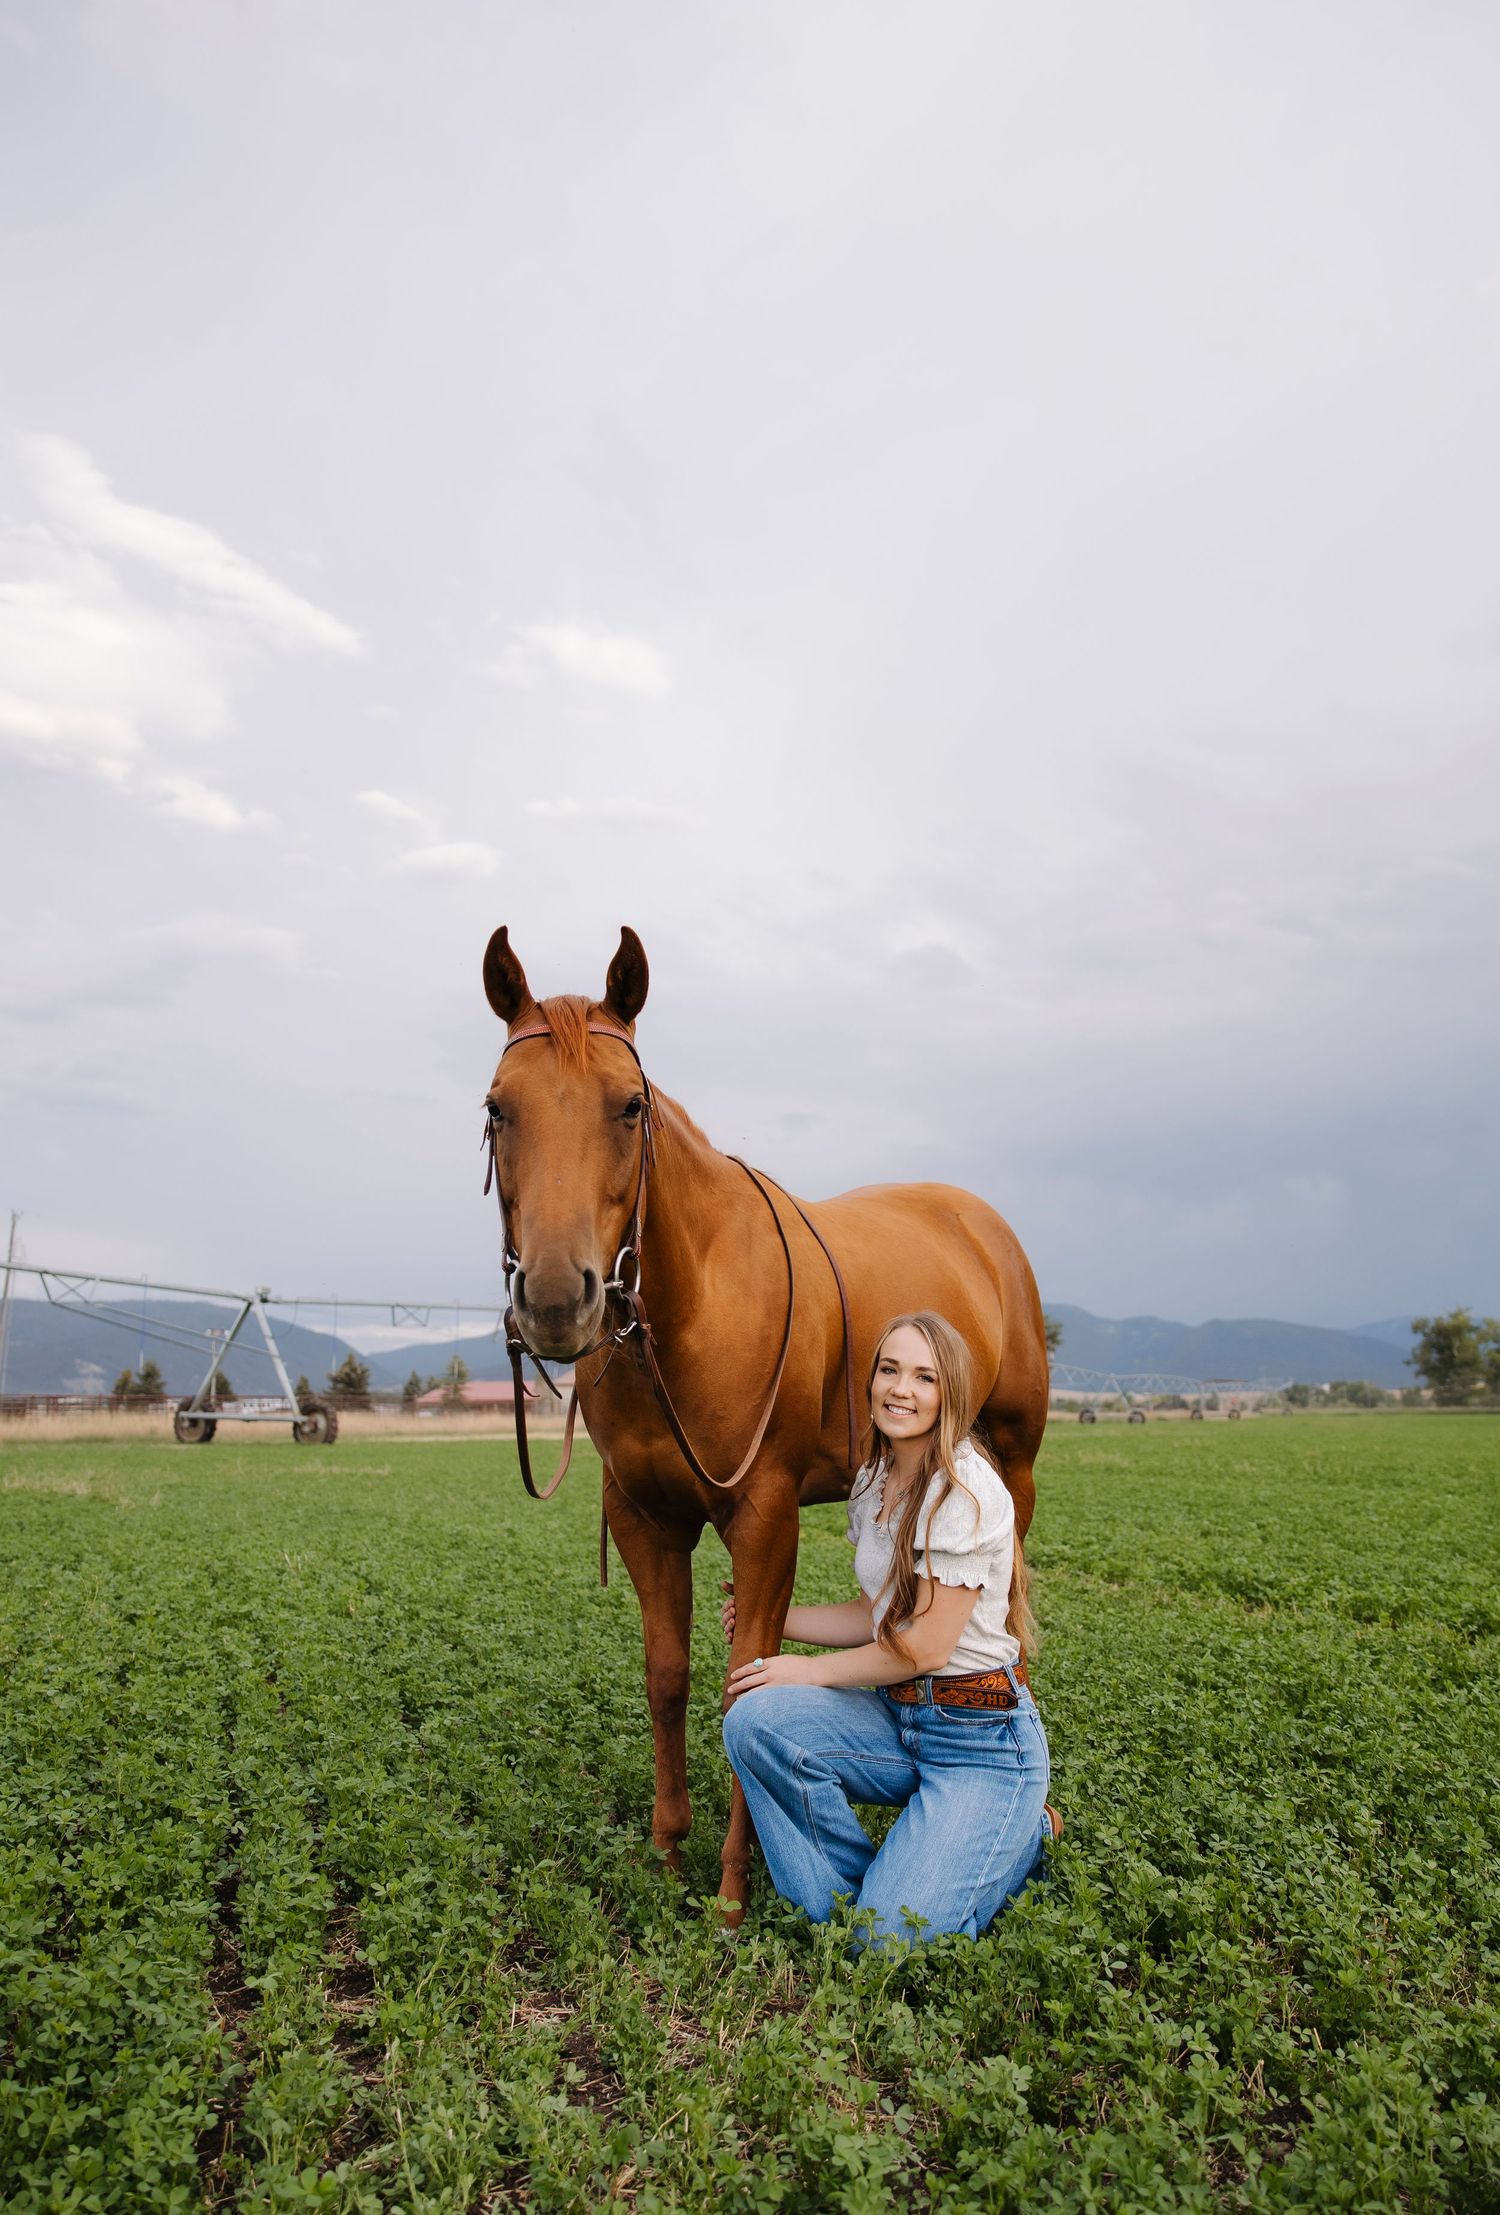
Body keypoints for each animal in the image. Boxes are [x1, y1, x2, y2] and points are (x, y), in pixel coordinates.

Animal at [482, 925, 1049, 1917]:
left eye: (629, 1106)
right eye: (498, 1107)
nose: (555, 1298)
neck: (689, 1312)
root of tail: (980, 1222)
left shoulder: (764, 1516)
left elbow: (747, 1684)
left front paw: (733, 1890)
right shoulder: (645, 1517)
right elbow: (669, 1676)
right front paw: (668, 1849)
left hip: (1014, 1457)